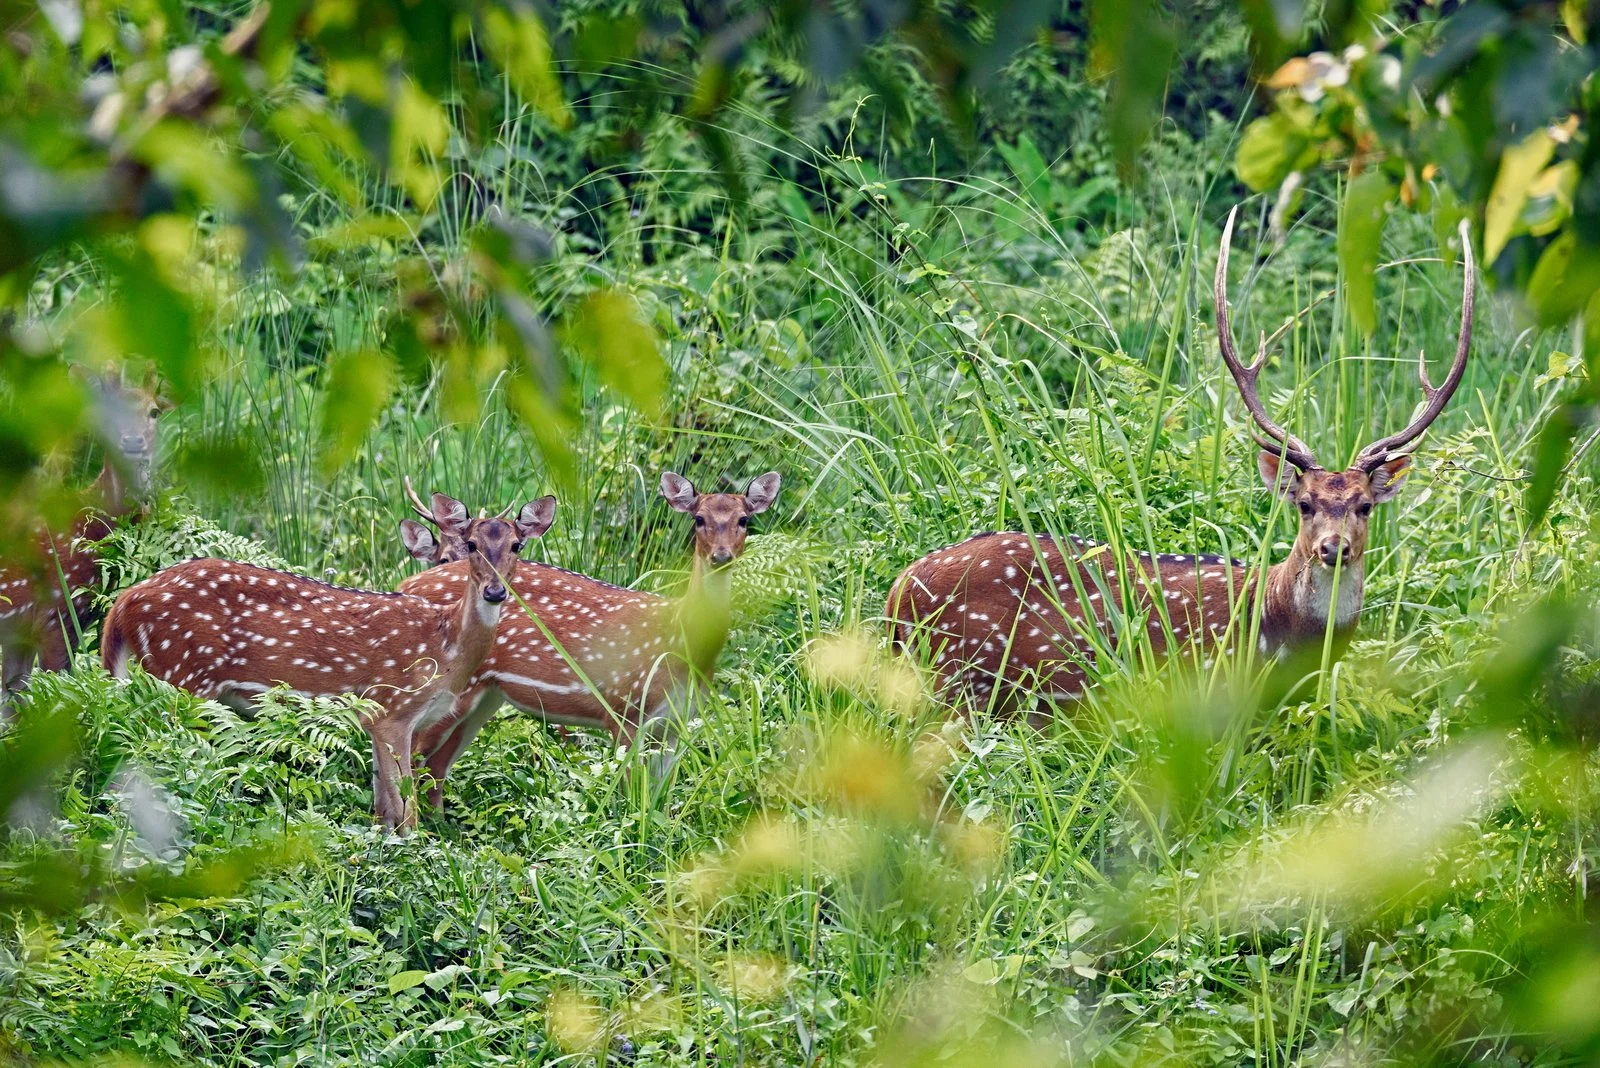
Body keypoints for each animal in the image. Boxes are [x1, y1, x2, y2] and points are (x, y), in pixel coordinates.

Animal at [100, 488, 557, 830]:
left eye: (517, 545)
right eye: (473, 545)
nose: (494, 592)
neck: (445, 652)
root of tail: (123, 604)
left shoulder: (377, 719)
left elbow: (383, 811)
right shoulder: (391, 707)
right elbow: (405, 814)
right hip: (181, 673)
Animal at [395, 470, 781, 812]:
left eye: (745, 520)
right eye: (698, 518)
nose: (721, 555)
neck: (679, 640)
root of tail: (404, 584)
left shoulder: (675, 723)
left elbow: (661, 801)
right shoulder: (624, 708)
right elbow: (632, 801)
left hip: (487, 696)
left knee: (435, 767)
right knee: (412, 757)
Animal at [886, 209, 1475, 714]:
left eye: (1364, 506)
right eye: (1304, 505)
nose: (1334, 548)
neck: (1280, 631)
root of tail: (895, 592)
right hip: (968, 677)